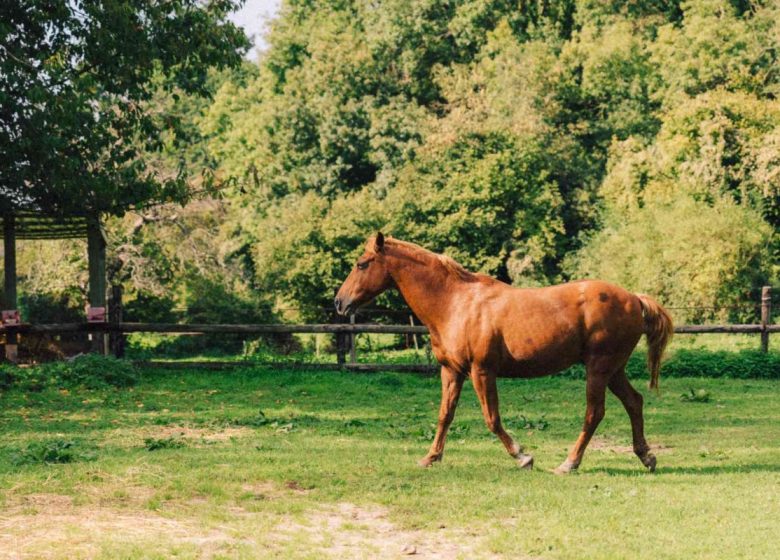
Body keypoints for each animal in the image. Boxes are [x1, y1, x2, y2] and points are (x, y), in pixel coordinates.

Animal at [334, 233, 673, 473]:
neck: (454, 302)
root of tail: (634, 299)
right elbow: (445, 415)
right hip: (613, 370)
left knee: (594, 413)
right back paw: (646, 457)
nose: (339, 302)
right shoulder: (452, 371)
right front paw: (430, 457)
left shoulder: (482, 371)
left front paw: (523, 456)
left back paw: (569, 463)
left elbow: (492, 418)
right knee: (634, 402)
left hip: (598, 369)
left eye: (361, 264)